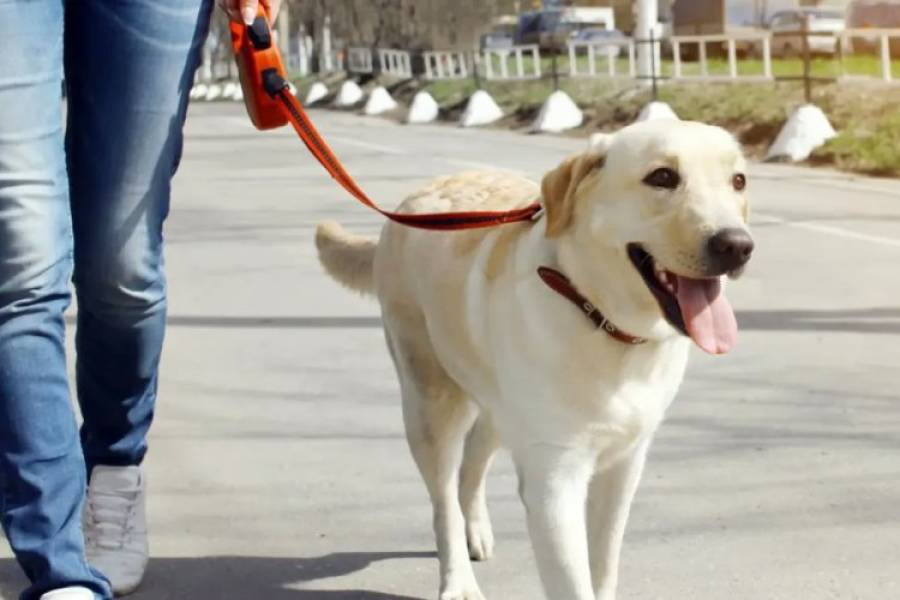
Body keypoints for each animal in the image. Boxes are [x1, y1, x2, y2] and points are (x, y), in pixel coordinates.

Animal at [316, 118, 752, 600]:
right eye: (662, 177)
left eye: (738, 181)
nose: (737, 246)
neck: (599, 318)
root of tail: (410, 203)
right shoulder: (554, 481)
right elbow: (574, 584)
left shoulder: (624, 467)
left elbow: (604, 566)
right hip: (430, 401)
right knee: (443, 496)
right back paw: (458, 577)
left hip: (495, 404)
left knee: (472, 462)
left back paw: (475, 528)